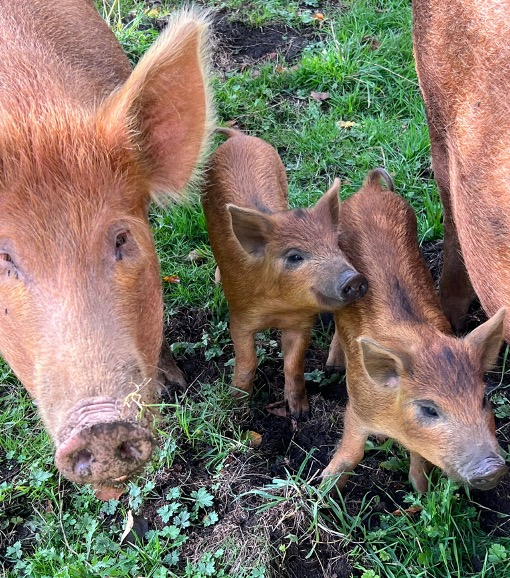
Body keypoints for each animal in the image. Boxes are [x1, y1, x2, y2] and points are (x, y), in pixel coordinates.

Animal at [202, 129, 366, 418]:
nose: (354, 279)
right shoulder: (240, 316)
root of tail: (238, 136)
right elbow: (247, 359)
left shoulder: (301, 322)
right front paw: (237, 403)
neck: (279, 307)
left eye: (336, 245)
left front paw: (301, 413)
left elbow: (293, 364)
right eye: (295, 257)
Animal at [322, 168, 506, 490]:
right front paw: (324, 486)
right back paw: (333, 364)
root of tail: (370, 189)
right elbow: (352, 453)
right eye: (429, 409)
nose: (493, 469)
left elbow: (420, 460)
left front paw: (421, 491)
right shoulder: (357, 406)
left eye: (483, 399)